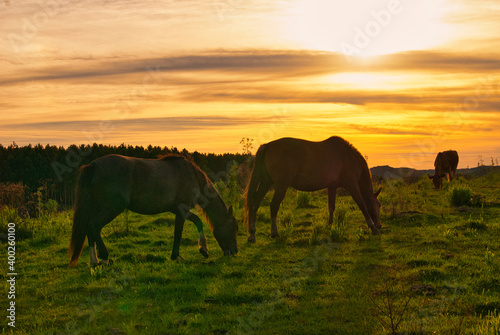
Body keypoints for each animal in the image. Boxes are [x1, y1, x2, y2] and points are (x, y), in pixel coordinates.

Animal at [68, 155, 238, 268]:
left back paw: (94, 261)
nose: (234, 252)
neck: (192, 175)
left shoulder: (176, 210)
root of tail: (93, 165)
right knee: (93, 226)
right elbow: (187, 228)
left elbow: (186, 227)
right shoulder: (182, 209)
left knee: (88, 229)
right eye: (234, 228)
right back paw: (104, 258)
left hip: (96, 208)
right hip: (112, 207)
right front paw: (200, 250)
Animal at [244, 136, 380, 242]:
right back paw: (274, 233)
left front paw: (329, 226)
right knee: (274, 205)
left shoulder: (332, 187)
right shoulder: (351, 185)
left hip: (266, 182)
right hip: (281, 185)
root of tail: (268, 146)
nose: (380, 225)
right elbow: (362, 204)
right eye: (378, 205)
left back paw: (252, 234)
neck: (347, 157)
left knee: (255, 202)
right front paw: (372, 227)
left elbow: (331, 207)